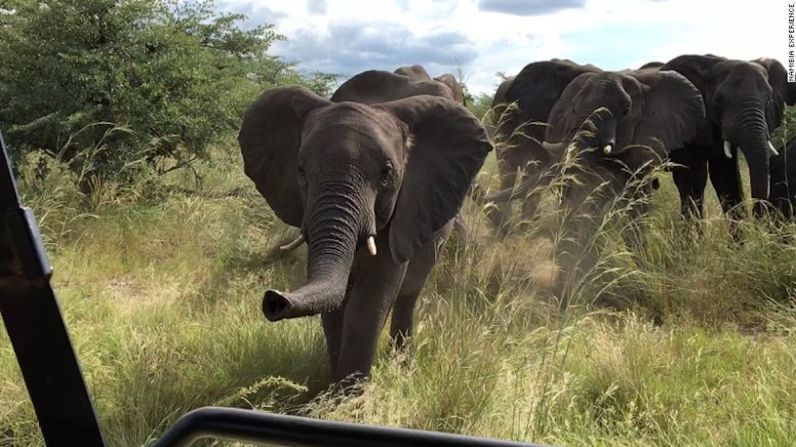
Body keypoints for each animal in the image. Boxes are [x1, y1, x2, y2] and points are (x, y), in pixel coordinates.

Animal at [238, 86, 492, 386]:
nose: (274, 300)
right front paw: (335, 388)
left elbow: (371, 298)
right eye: (300, 170)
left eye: (386, 174)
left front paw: (351, 394)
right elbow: (337, 302)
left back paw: (402, 367)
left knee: (409, 294)